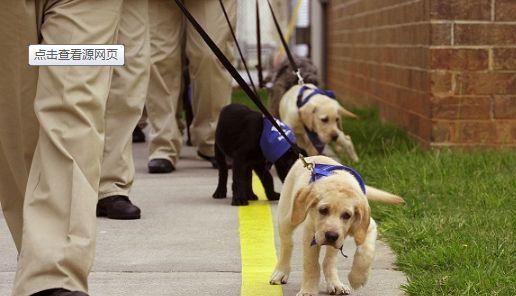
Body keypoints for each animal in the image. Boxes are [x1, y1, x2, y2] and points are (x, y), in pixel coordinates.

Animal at [270, 156, 404, 294]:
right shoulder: (310, 233)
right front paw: (308, 291)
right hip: (287, 217)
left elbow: (366, 252)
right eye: (323, 210)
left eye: (347, 215)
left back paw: (335, 284)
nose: (331, 236)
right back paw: (281, 272)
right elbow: (311, 264)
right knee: (287, 244)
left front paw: (357, 278)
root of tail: (309, 158)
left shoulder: (367, 226)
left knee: (329, 261)